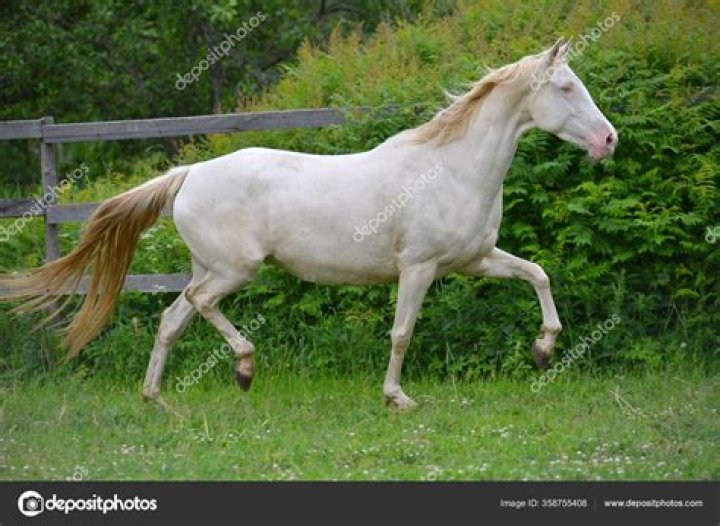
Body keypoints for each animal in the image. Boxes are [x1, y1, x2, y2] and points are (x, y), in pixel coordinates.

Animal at [0, 39, 617, 409]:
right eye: (566, 87)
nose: (609, 140)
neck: (451, 169)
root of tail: (188, 172)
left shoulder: (475, 260)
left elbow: (538, 274)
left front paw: (544, 349)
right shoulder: (418, 267)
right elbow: (402, 332)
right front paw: (397, 398)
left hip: (208, 266)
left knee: (172, 318)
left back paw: (158, 400)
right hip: (233, 270)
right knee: (198, 305)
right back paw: (243, 368)